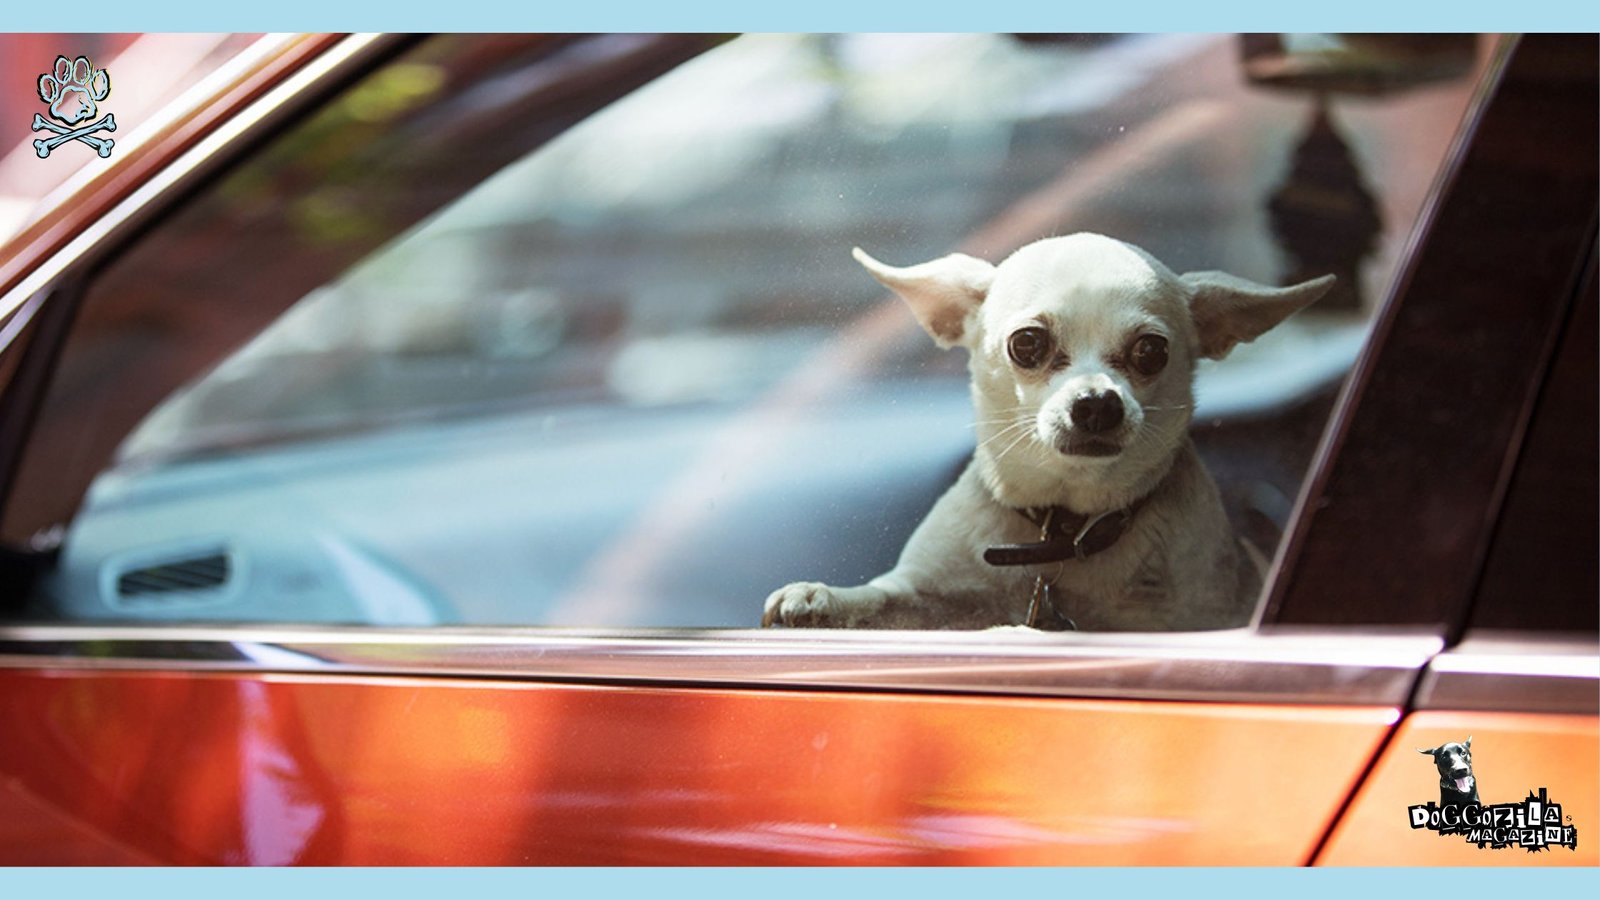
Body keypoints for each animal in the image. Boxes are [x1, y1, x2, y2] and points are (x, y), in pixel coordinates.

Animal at [761, 230, 1337, 627]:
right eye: (1027, 344)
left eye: (1151, 351)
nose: (1098, 404)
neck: (1061, 531)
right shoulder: (925, 592)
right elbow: (885, 595)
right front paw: (822, 596)